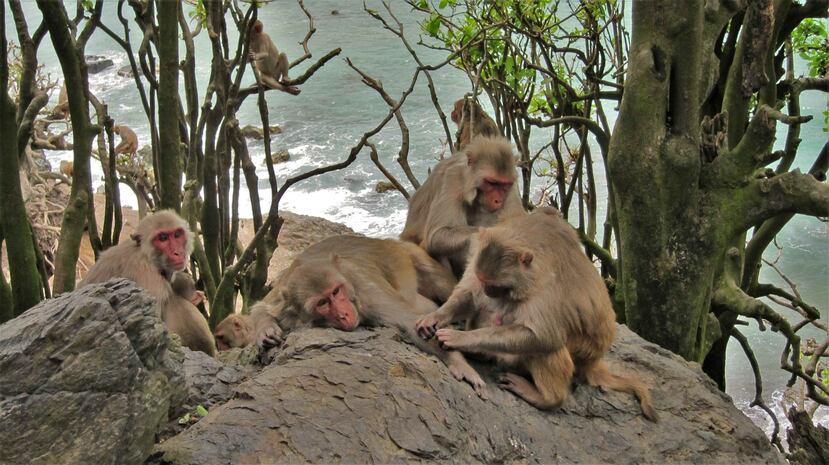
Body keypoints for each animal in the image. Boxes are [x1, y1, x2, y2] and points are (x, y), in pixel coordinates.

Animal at [249, 236, 488, 396]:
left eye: (336, 292)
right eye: (322, 303)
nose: (344, 314)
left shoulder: (368, 291)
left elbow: (410, 321)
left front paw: (459, 363)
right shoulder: (285, 299)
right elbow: (261, 307)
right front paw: (266, 330)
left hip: (409, 252)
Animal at [400, 136, 524, 278]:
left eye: (505, 184)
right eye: (492, 183)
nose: (498, 200)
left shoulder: (511, 188)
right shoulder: (452, 178)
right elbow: (437, 234)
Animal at [418, 208, 656, 420]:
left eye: (496, 286)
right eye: (483, 281)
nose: (487, 291)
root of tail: (594, 361)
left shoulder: (546, 284)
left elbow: (542, 336)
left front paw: (461, 338)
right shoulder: (477, 254)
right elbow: (468, 295)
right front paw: (436, 317)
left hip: (579, 354)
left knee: (547, 346)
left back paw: (548, 398)